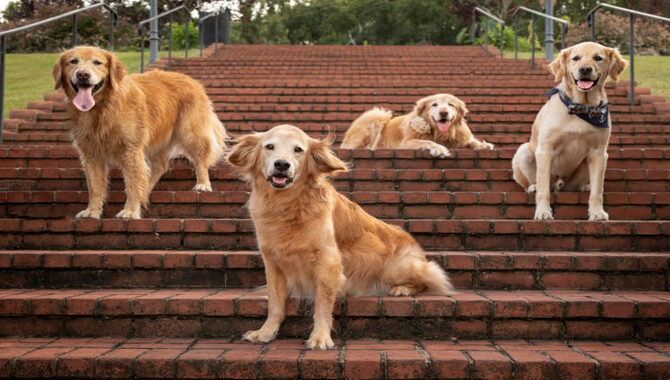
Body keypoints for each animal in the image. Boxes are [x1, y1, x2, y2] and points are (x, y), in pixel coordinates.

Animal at [52, 46, 226, 218]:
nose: (83, 74)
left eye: (97, 62)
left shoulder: (131, 150)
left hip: (191, 133)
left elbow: (132, 183)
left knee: (200, 159)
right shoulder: (91, 153)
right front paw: (92, 211)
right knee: (159, 166)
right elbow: (95, 186)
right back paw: (147, 189)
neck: (102, 108)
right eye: (73, 61)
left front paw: (130, 211)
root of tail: (192, 80)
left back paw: (203, 184)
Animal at [227, 125, 456, 350]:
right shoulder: (272, 262)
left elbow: (322, 302)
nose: (282, 164)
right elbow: (274, 302)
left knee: (431, 278)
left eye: (298, 150)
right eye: (269, 146)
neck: (285, 205)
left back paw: (402, 289)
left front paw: (320, 336)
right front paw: (266, 331)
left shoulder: (327, 261)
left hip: (394, 268)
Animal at [342, 93, 494, 156]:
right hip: (377, 114)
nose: (443, 112)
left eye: (451, 104)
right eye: (434, 104)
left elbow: (472, 142)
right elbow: (426, 141)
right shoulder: (406, 143)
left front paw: (484, 145)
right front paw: (439, 149)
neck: (441, 134)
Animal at [516, 41, 632, 220]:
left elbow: (598, 190)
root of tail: (560, 184)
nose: (585, 69)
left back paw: (585, 186)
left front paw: (597, 212)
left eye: (598, 58)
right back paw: (532, 187)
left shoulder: (599, 153)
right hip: (523, 152)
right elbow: (543, 190)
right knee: (534, 183)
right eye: (575, 58)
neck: (582, 108)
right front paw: (543, 212)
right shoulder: (545, 150)